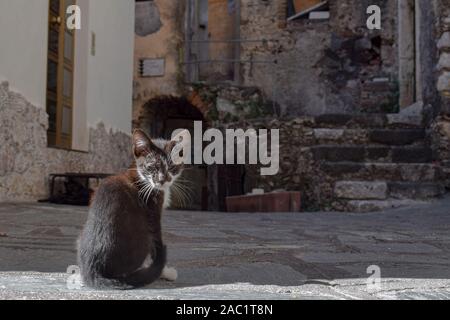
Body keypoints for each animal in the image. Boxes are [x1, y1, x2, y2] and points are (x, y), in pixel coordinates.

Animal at [77, 129, 188, 288]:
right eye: (152, 167)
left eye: (172, 167)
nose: (162, 180)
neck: (143, 179)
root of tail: (94, 270)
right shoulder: (152, 210)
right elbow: (157, 243)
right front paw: (165, 272)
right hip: (142, 236)